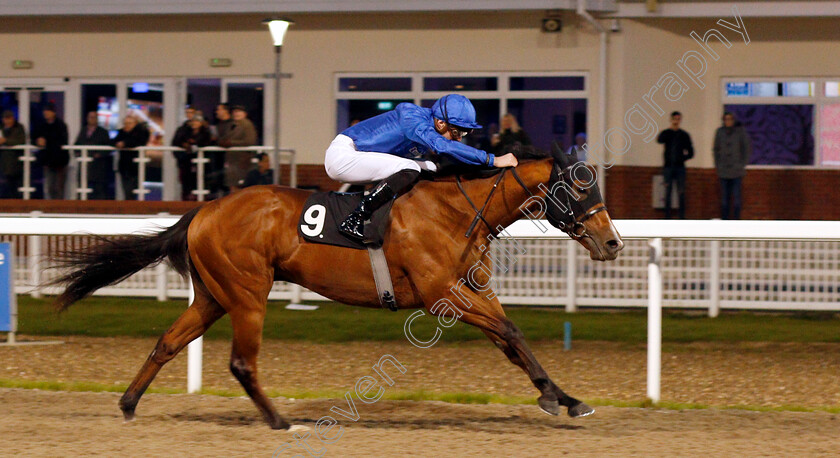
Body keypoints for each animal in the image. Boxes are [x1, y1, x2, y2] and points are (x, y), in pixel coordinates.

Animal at [46, 147, 624, 430]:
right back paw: (281, 421)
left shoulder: (470, 291)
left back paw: (127, 405)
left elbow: (511, 340)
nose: (612, 242)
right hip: (247, 294)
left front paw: (564, 398)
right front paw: (556, 398)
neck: (457, 210)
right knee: (242, 362)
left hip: (214, 296)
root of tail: (204, 210)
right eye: (578, 188)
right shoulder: (443, 294)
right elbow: (511, 331)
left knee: (168, 343)